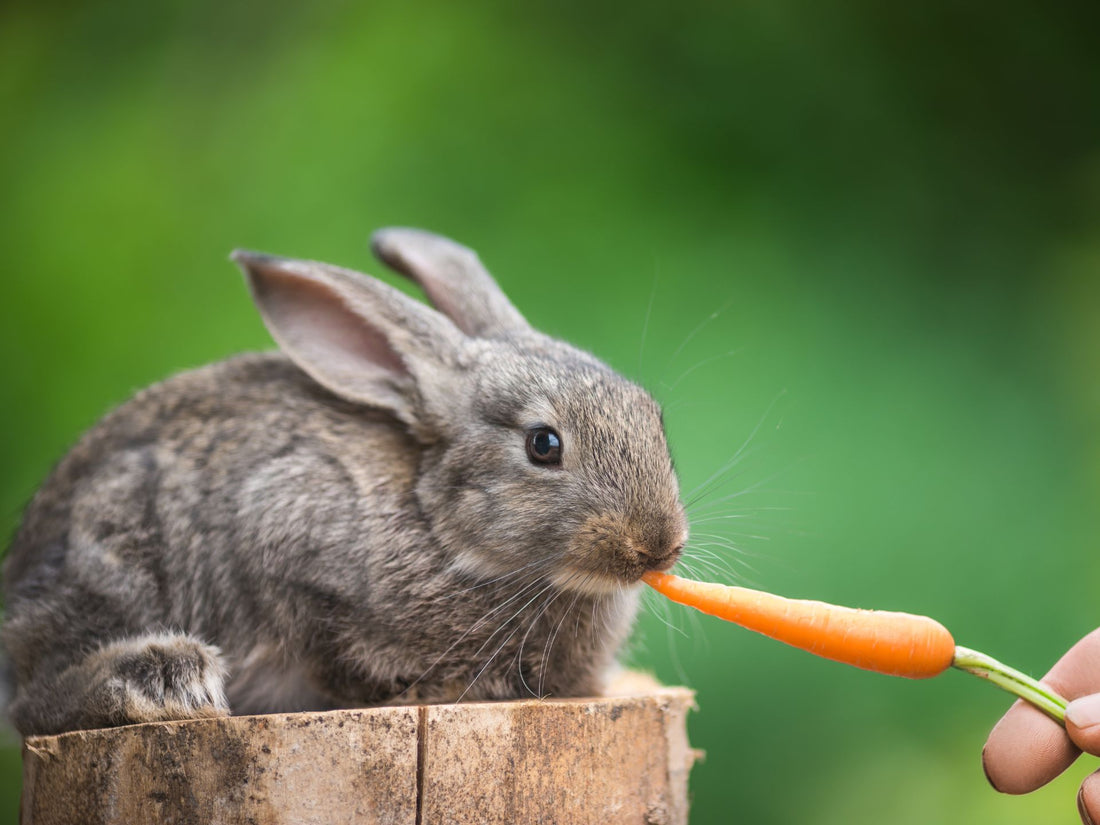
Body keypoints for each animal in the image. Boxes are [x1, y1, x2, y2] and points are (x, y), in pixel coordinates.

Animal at [0, 227, 686, 734]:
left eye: (654, 417)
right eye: (543, 445)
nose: (658, 545)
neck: (441, 528)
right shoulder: (284, 531)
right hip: (115, 547)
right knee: (33, 698)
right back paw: (163, 679)